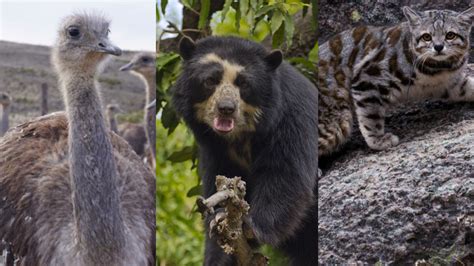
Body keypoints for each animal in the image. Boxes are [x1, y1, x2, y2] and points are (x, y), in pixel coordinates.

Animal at [171, 35, 318, 266]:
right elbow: (219, 183)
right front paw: (219, 249)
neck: (241, 136)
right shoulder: (215, 150)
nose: (226, 108)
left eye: (244, 84)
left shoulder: (292, 120)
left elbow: (286, 176)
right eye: (210, 80)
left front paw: (252, 228)